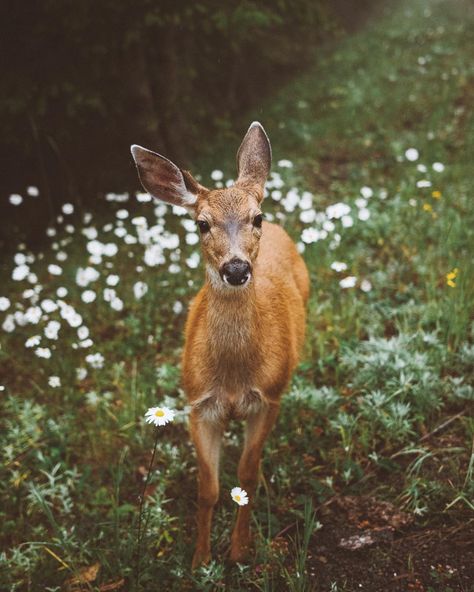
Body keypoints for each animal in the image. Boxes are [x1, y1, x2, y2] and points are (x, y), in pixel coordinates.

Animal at [131, 121, 312, 568]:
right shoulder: (199, 404)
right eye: (201, 223)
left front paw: (239, 550)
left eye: (256, 217)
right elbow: (208, 489)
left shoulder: (268, 397)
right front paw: (200, 559)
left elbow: (245, 475)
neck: (232, 377)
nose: (235, 268)